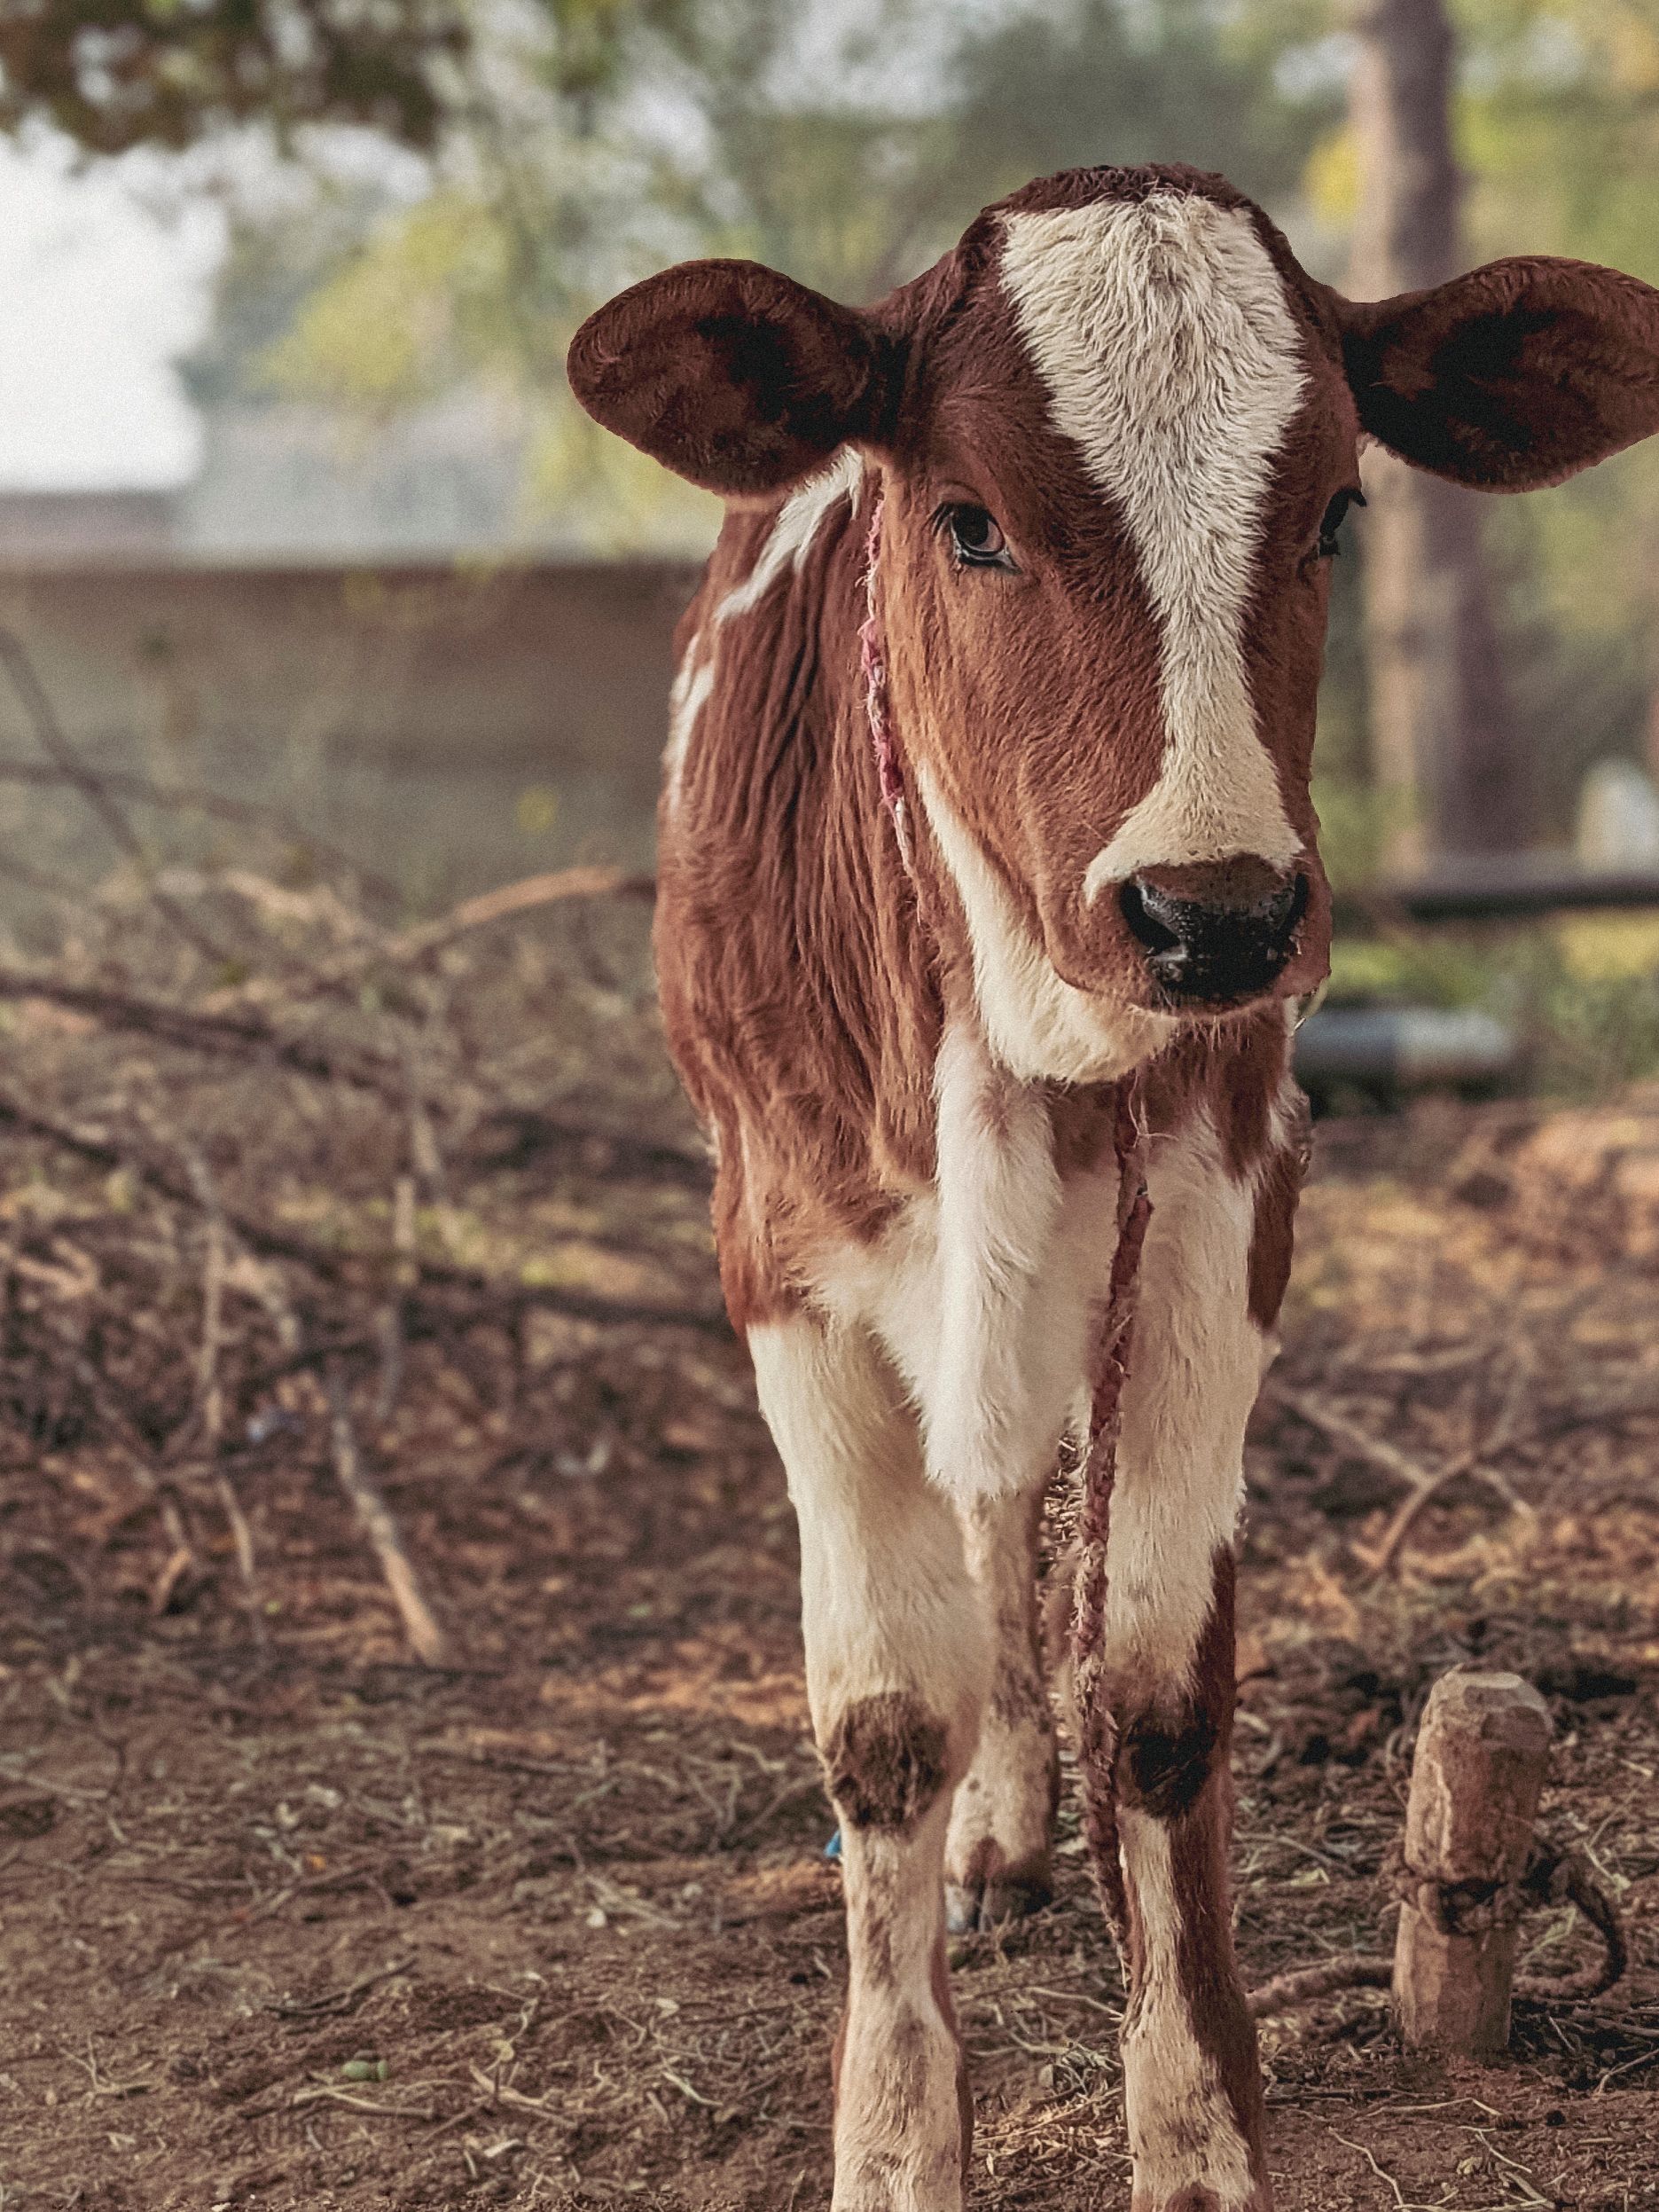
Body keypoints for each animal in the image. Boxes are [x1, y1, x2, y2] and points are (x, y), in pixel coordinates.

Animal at [568, 164, 1659, 2212]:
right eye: (965, 520)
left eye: (1334, 511)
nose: (1211, 911)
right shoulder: (778, 1257)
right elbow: (880, 1722)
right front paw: (895, 2135)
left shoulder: (1225, 1209)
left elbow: (1153, 1699)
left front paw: (1194, 2131)